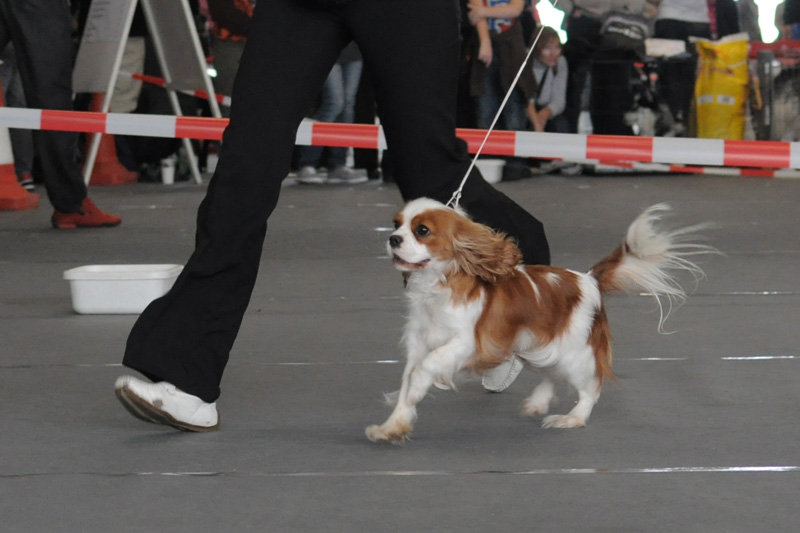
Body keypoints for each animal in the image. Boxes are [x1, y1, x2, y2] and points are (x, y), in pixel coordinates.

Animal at [365, 199, 710, 444]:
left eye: (422, 230)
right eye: (395, 224)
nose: (393, 239)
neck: (437, 285)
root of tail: (589, 280)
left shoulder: (468, 344)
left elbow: (426, 367)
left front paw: (419, 389)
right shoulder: (417, 344)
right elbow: (408, 380)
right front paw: (392, 426)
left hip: (576, 353)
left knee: (591, 387)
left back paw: (572, 418)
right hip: (541, 346)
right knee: (552, 374)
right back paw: (539, 402)